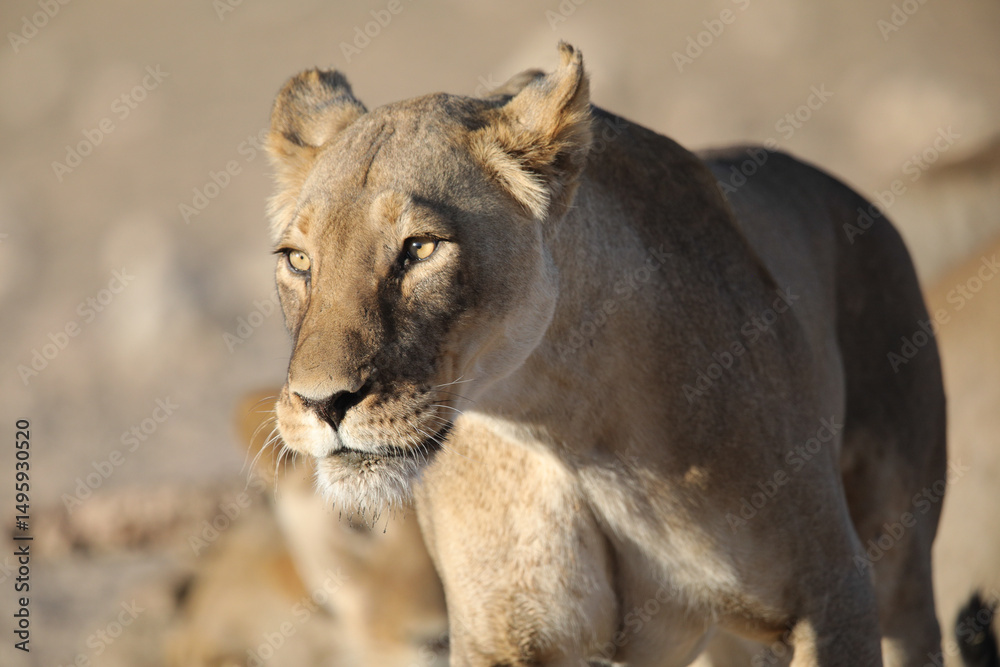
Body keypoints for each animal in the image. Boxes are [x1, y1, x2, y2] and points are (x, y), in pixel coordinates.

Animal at [263, 43, 946, 666]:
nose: (323, 404)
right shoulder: (504, 637)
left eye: (420, 249)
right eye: (298, 260)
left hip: (900, 563)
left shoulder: (832, 592)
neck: (566, 424)